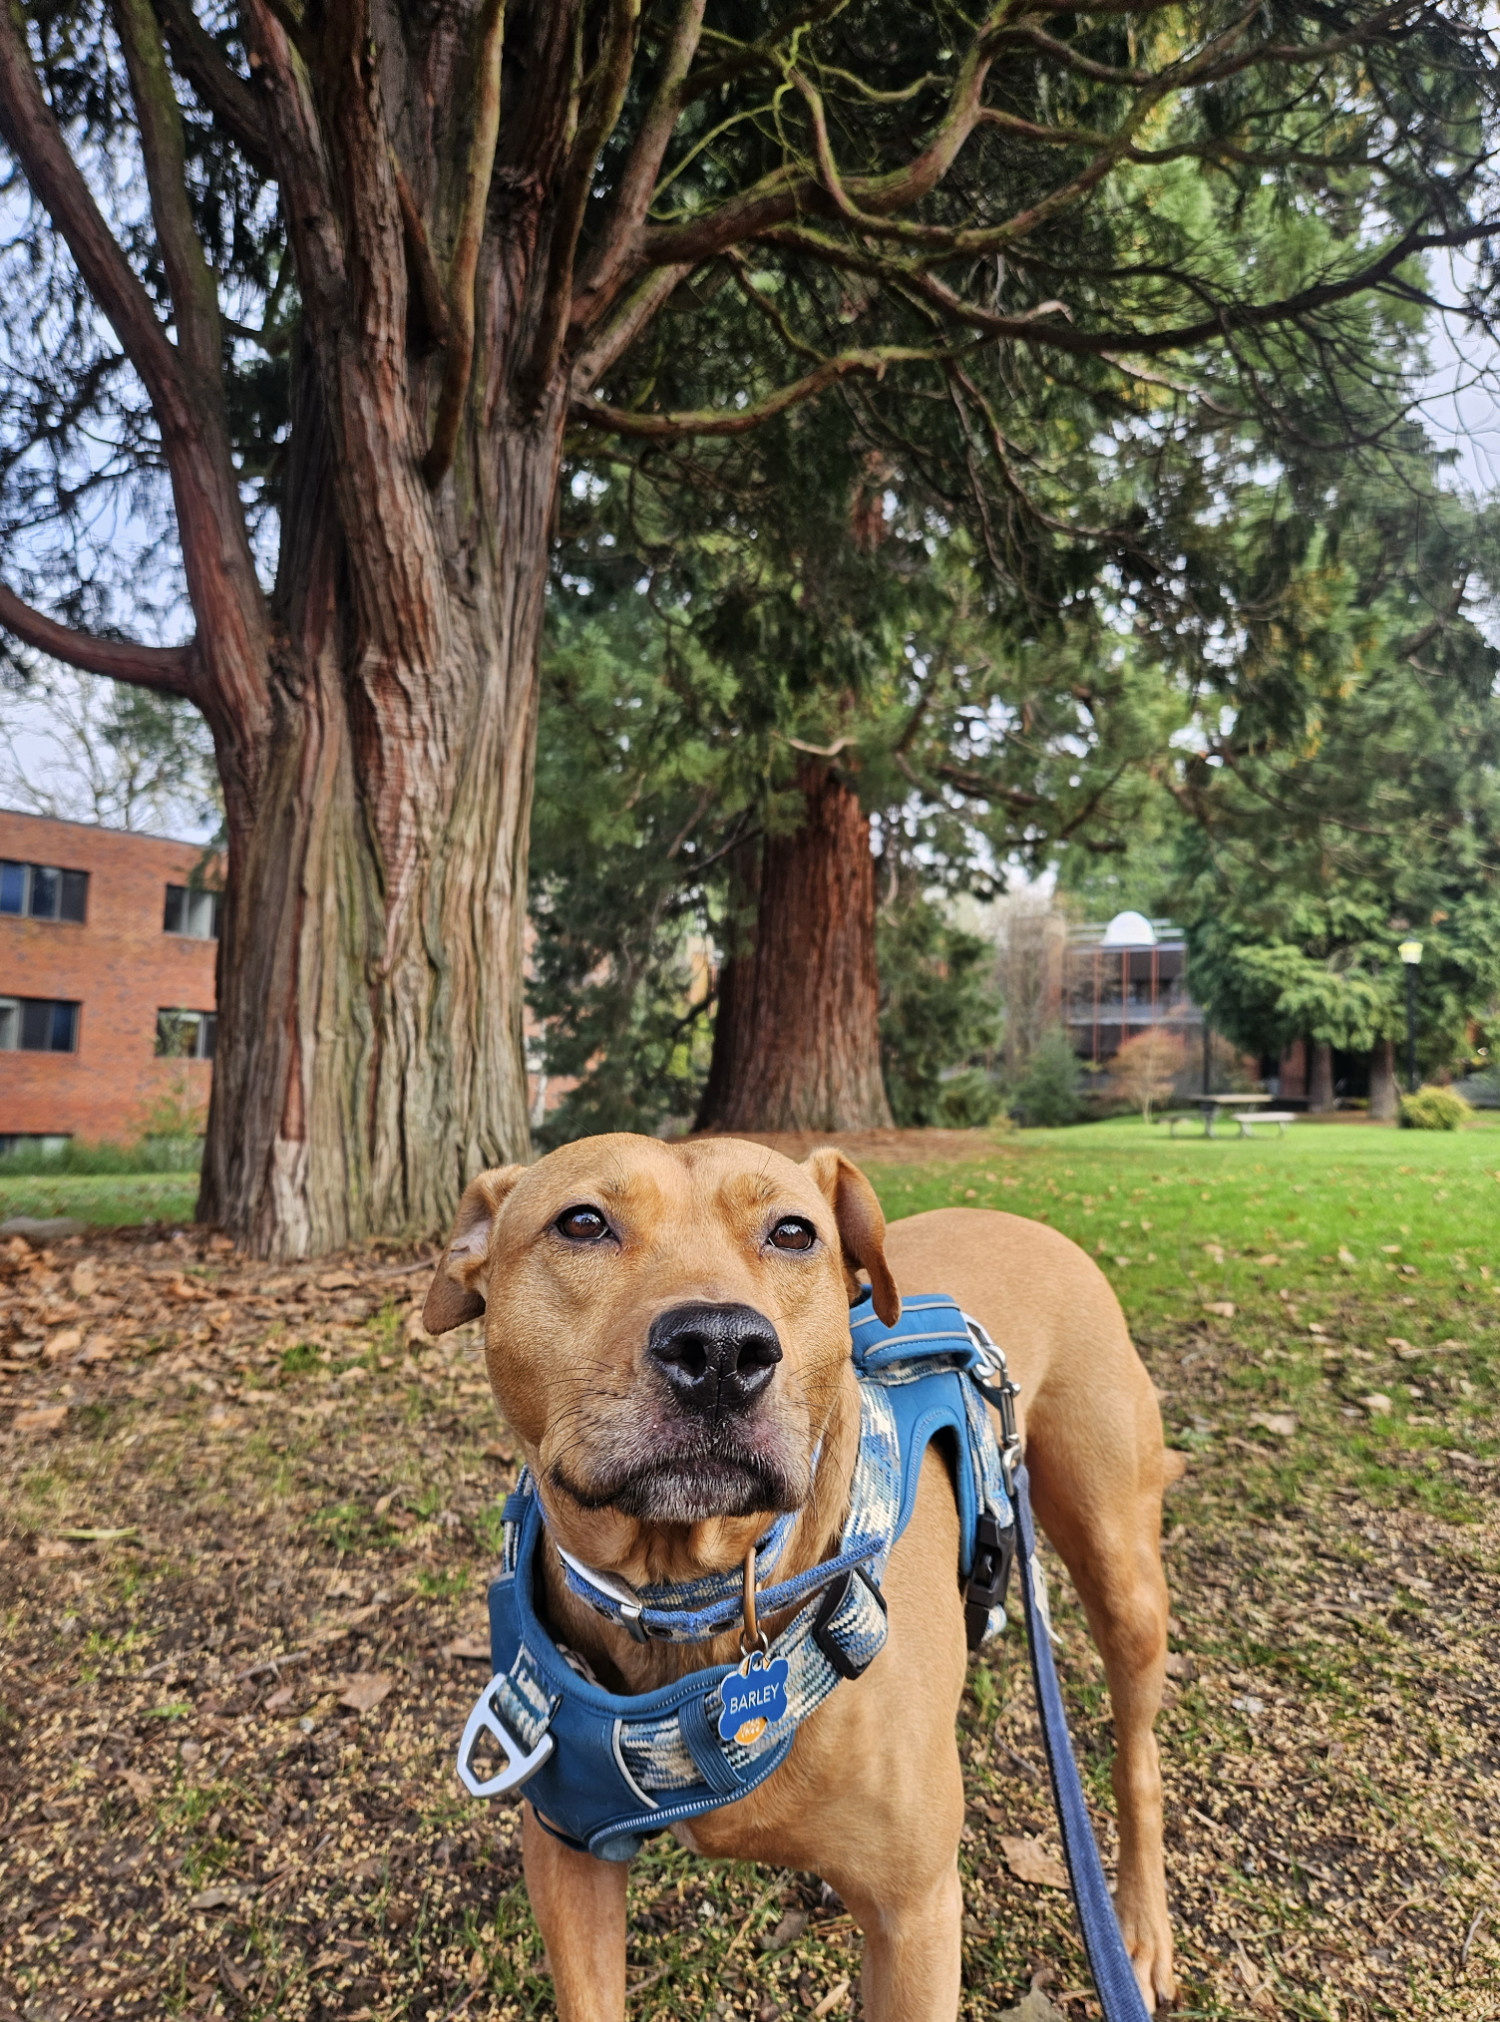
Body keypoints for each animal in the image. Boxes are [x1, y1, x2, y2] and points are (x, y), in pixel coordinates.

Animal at [426, 1132, 1188, 2013]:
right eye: (581, 1223)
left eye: (793, 1233)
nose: (722, 1350)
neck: (687, 1596)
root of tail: (1023, 1218)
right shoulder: (565, 1853)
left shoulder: (915, 1918)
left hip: (1121, 1570)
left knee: (1138, 1759)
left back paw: (1140, 1926)